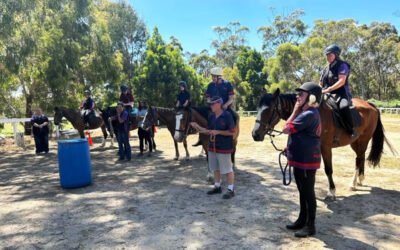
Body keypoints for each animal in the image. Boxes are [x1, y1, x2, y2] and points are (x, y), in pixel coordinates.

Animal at [252, 88, 396, 199]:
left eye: (269, 109)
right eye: (257, 108)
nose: (255, 134)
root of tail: (370, 105)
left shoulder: (325, 147)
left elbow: (328, 169)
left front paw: (331, 192)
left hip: (363, 140)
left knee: (359, 158)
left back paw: (353, 183)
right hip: (355, 142)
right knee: (360, 157)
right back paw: (360, 180)